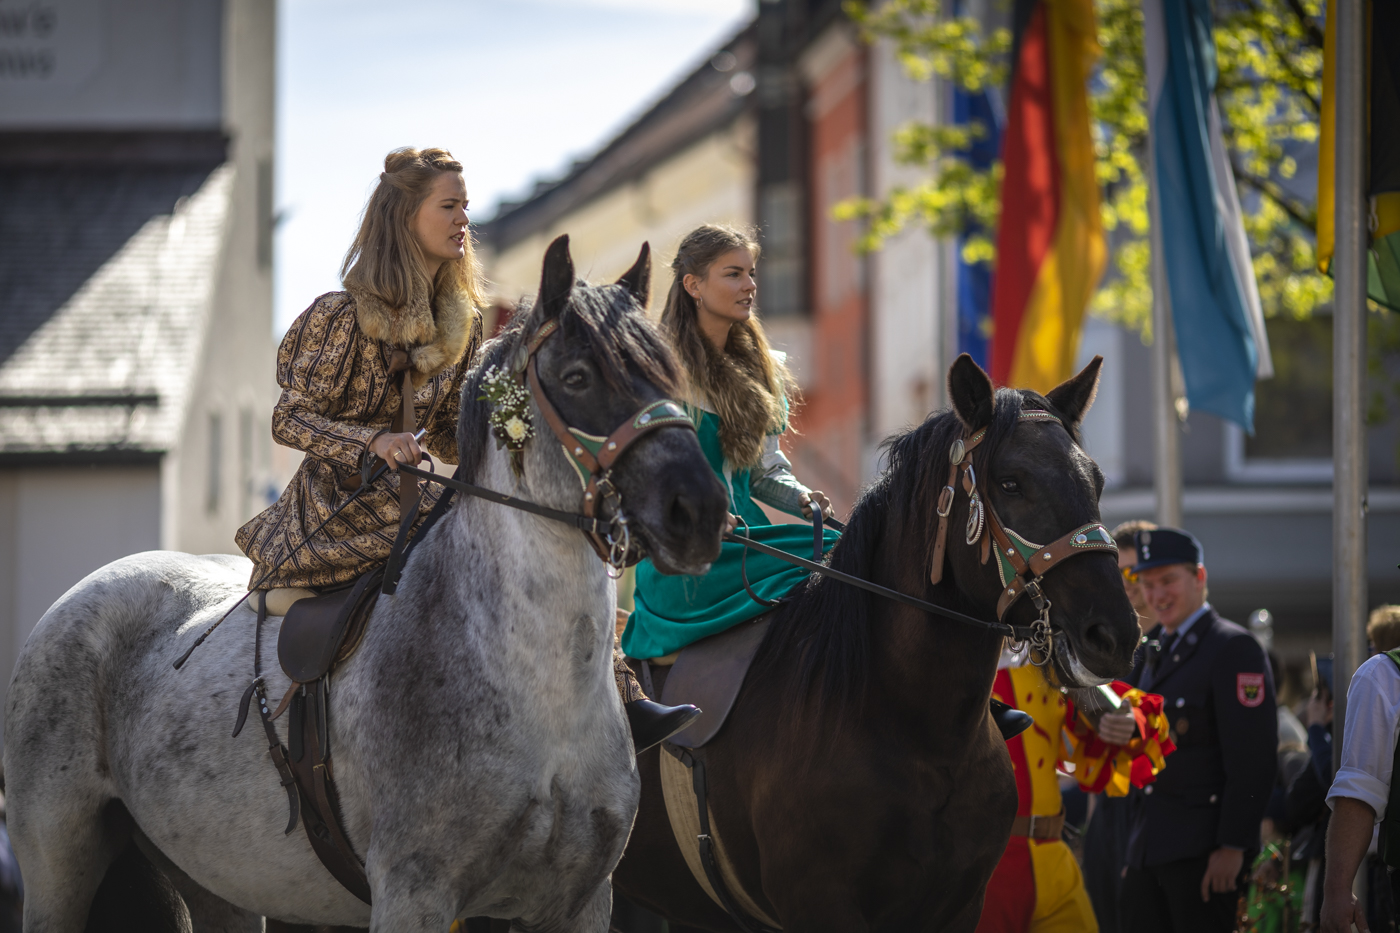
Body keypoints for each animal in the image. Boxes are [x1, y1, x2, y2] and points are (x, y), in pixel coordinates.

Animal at [8, 236, 733, 924]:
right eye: (578, 376)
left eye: (667, 373)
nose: (698, 511)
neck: (535, 685)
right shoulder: (415, 893)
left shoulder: (581, 903)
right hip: (57, 863)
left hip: (214, 879)